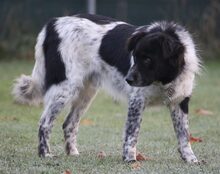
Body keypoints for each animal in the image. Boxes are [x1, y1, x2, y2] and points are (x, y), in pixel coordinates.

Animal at [12, 13, 201, 163]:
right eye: (135, 57)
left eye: (147, 59)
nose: (128, 79)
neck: (163, 80)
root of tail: (53, 23)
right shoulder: (137, 101)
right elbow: (132, 133)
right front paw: (129, 159)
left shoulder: (180, 102)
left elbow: (184, 135)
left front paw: (190, 158)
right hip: (65, 88)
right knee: (45, 122)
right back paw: (45, 154)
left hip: (86, 92)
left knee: (69, 123)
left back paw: (72, 153)